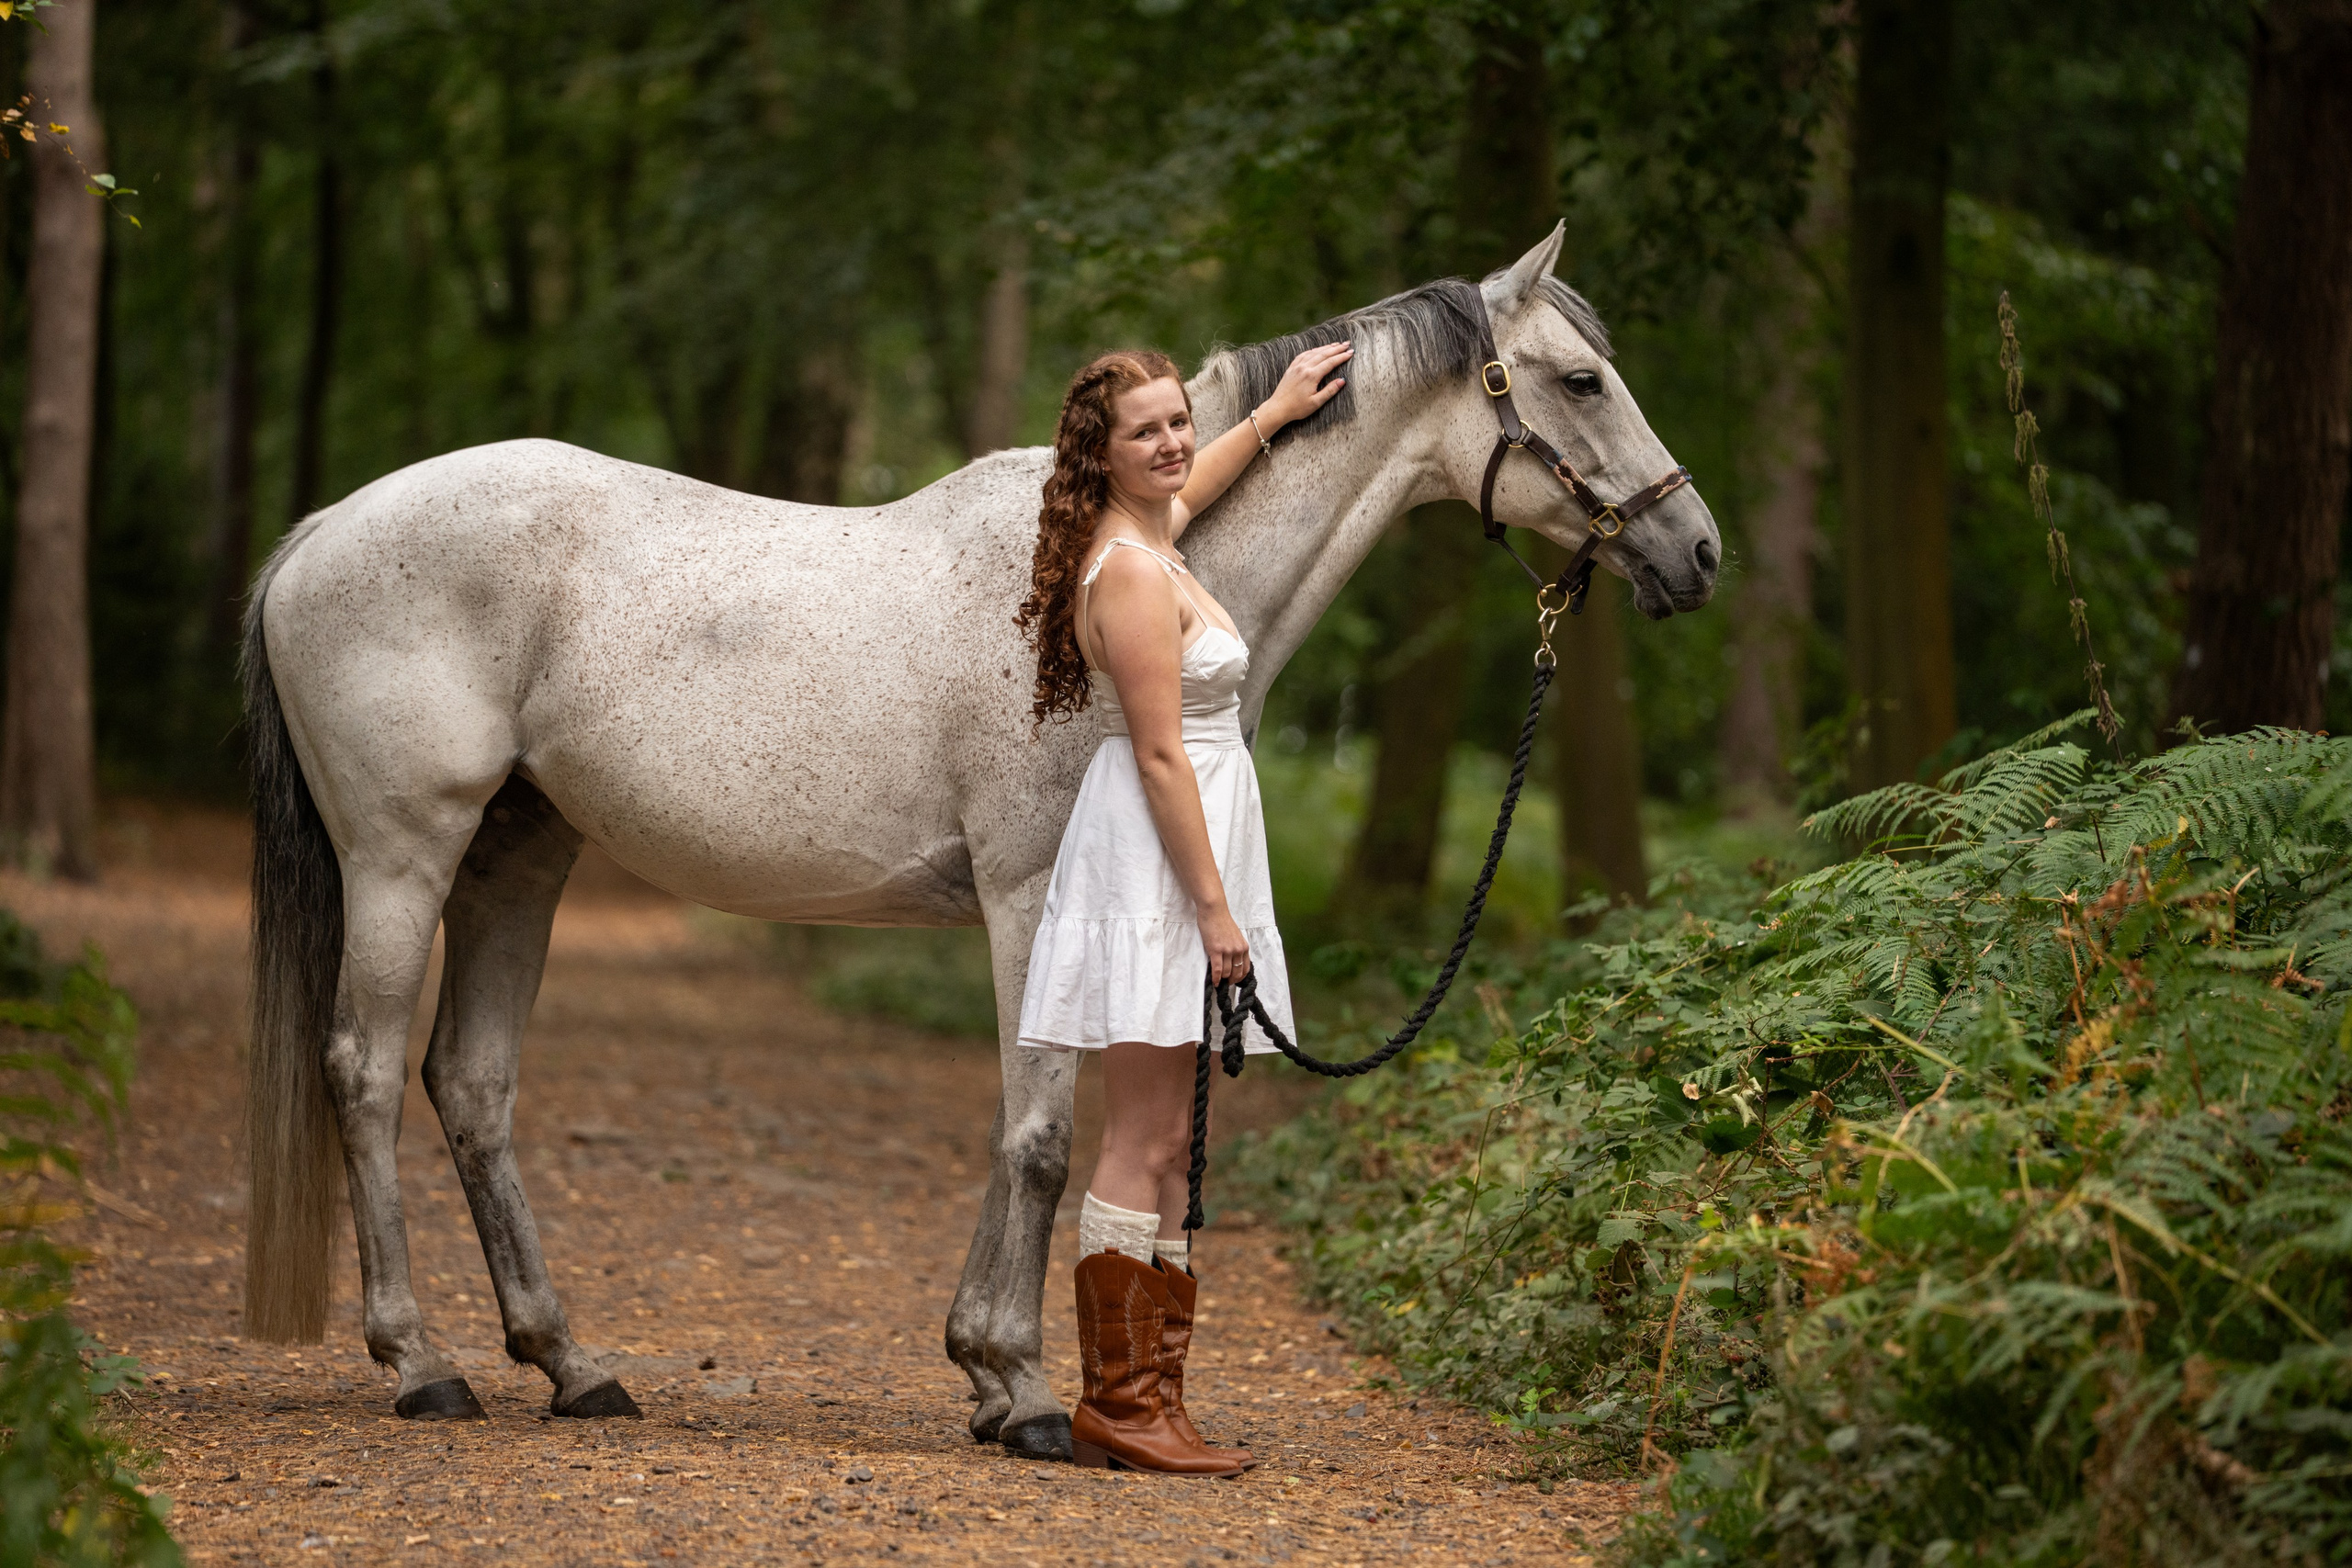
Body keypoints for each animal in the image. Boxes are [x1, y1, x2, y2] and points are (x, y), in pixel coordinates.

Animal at [240, 226, 1719, 1459]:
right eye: (1582, 379)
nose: (1696, 553)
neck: (1097, 572)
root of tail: (320, 533)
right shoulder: (1028, 898)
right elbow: (1041, 1133)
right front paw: (1019, 1386)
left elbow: (1034, 1127)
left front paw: (990, 1373)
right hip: (405, 857)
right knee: (364, 1070)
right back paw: (421, 1363)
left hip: (519, 857)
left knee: (472, 1085)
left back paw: (570, 1364)